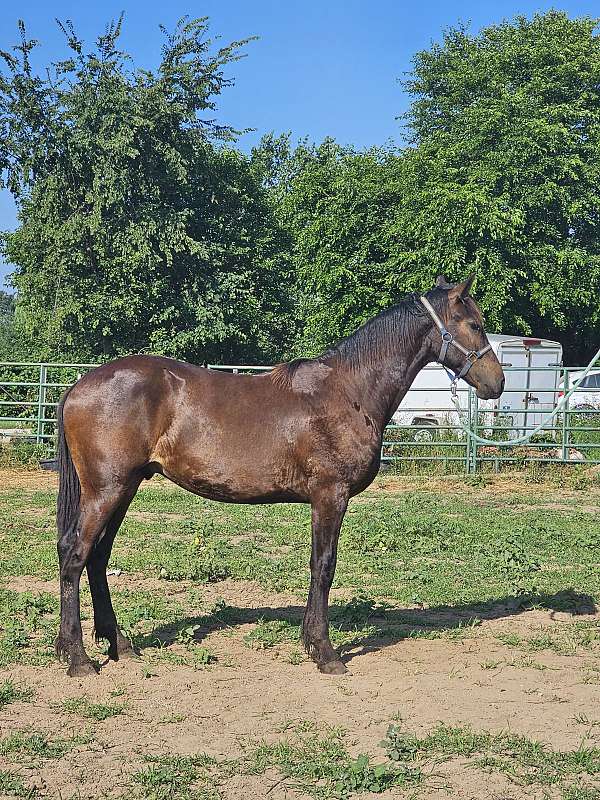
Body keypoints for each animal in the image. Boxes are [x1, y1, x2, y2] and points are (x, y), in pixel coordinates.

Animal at [55, 275, 504, 677]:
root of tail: (78, 385)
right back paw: (77, 658)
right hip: (107, 490)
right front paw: (325, 652)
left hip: (124, 488)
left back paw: (118, 644)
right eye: (474, 324)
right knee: (75, 554)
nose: (497, 383)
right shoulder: (330, 495)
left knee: (97, 558)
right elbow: (323, 566)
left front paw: (311, 643)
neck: (350, 390)